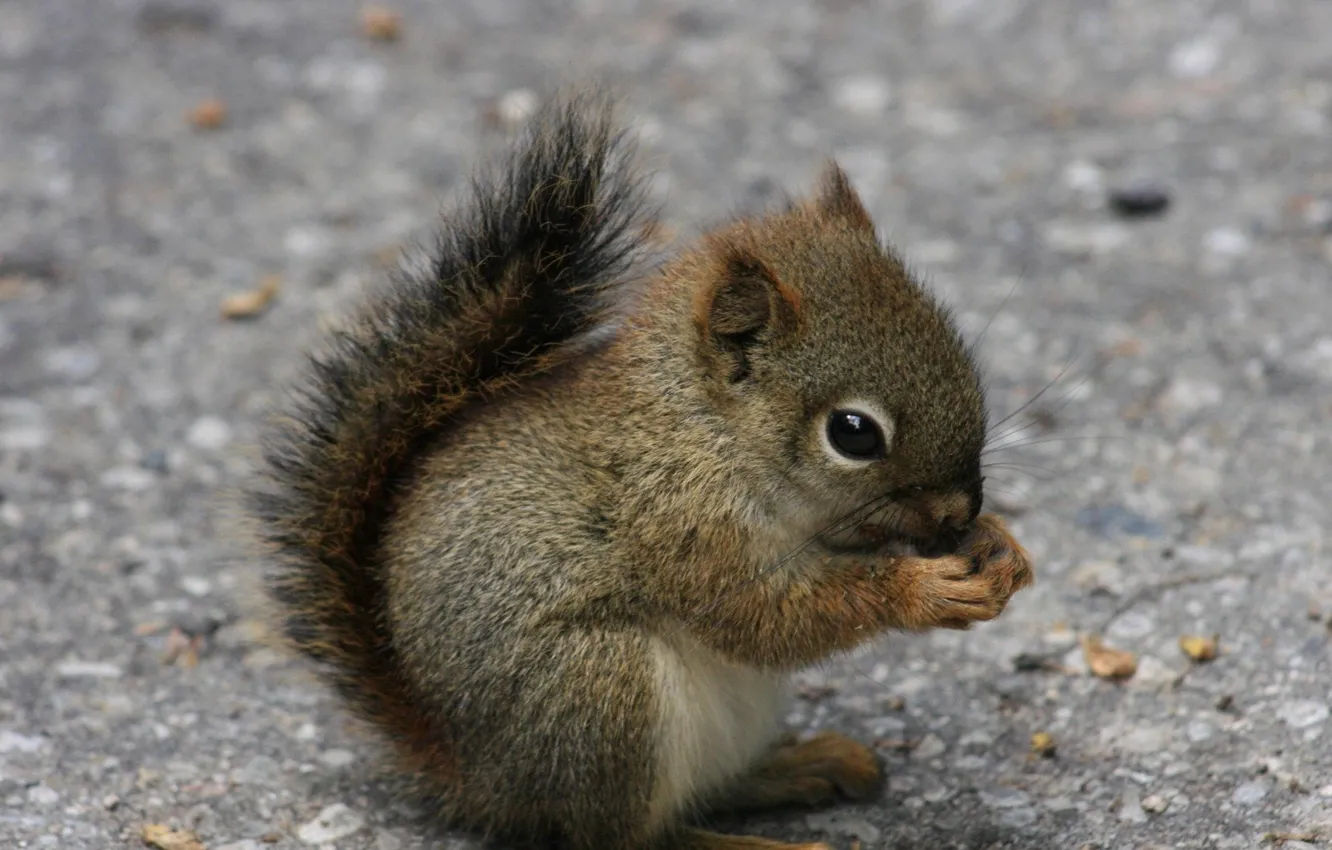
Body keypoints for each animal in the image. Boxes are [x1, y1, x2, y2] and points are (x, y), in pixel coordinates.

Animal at [247, 90, 1034, 850]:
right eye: (854, 433)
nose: (959, 511)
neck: (705, 430)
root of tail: (479, 780)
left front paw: (1001, 546)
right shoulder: (681, 523)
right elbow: (764, 619)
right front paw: (924, 590)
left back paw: (803, 766)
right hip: (599, 691)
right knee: (630, 835)